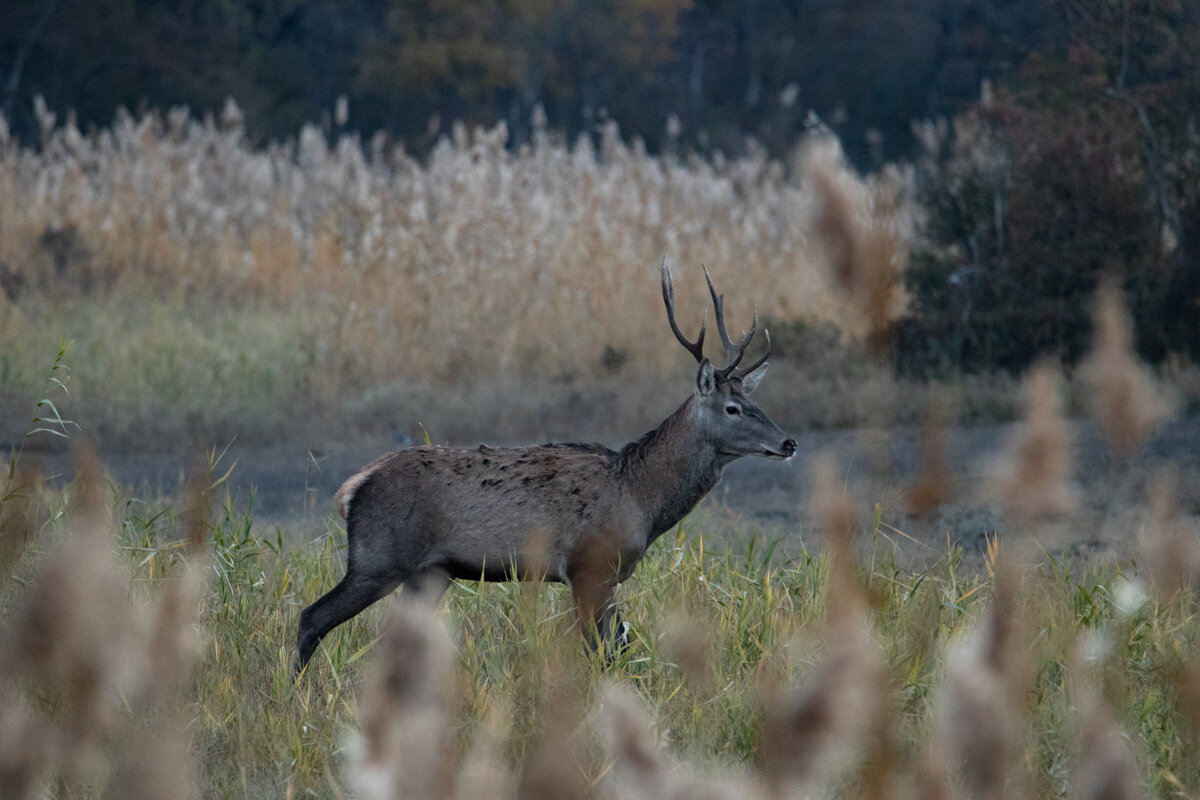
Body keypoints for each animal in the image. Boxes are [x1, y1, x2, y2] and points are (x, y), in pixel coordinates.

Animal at [291, 262, 796, 676]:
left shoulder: (607, 576)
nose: (789, 442)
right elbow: (601, 653)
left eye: (755, 402)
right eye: (733, 408)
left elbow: (619, 649)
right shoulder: (588, 566)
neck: (640, 498)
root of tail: (352, 488)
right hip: (378, 557)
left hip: (429, 572)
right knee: (311, 617)